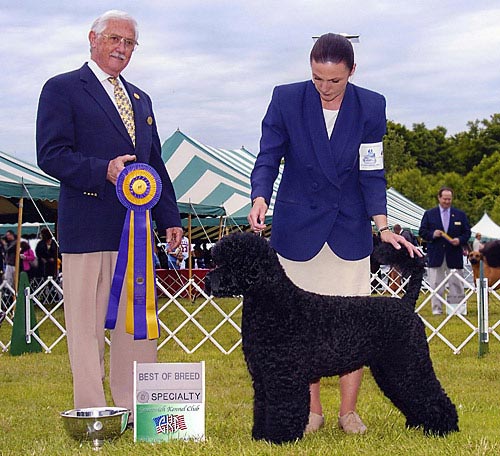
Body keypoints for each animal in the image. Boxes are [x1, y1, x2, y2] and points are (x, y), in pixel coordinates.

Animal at [205, 233, 458, 444]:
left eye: (230, 262)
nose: (207, 281)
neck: (274, 303)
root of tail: (406, 304)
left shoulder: (283, 376)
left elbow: (282, 407)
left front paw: (279, 438)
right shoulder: (262, 376)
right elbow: (262, 407)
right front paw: (260, 436)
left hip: (408, 362)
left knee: (431, 393)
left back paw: (444, 428)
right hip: (390, 369)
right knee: (410, 394)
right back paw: (419, 425)